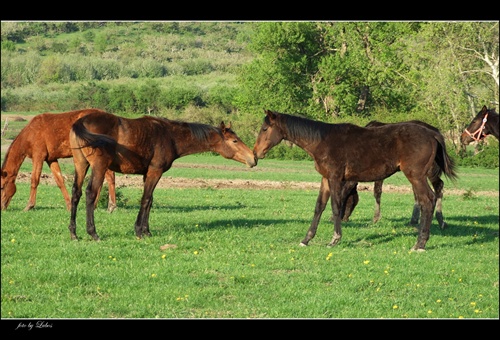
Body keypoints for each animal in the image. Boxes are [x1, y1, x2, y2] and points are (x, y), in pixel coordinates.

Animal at [69, 110, 258, 240]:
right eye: (235, 141)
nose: (254, 158)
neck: (170, 135)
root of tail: (81, 121)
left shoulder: (147, 174)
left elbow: (150, 201)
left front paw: (147, 231)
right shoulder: (155, 171)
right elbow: (145, 199)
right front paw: (139, 231)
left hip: (81, 165)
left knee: (76, 194)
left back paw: (73, 233)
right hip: (99, 167)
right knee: (90, 194)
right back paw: (93, 233)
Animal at [254, 110, 458, 251]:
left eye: (264, 129)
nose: (256, 153)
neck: (322, 141)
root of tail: (433, 134)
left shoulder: (336, 178)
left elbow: (336, 206)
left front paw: (335, 239)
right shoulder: (325, 179)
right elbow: (319, 206)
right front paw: (306, 239)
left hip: (416, 176)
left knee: (428, 200)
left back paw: (420, 243)